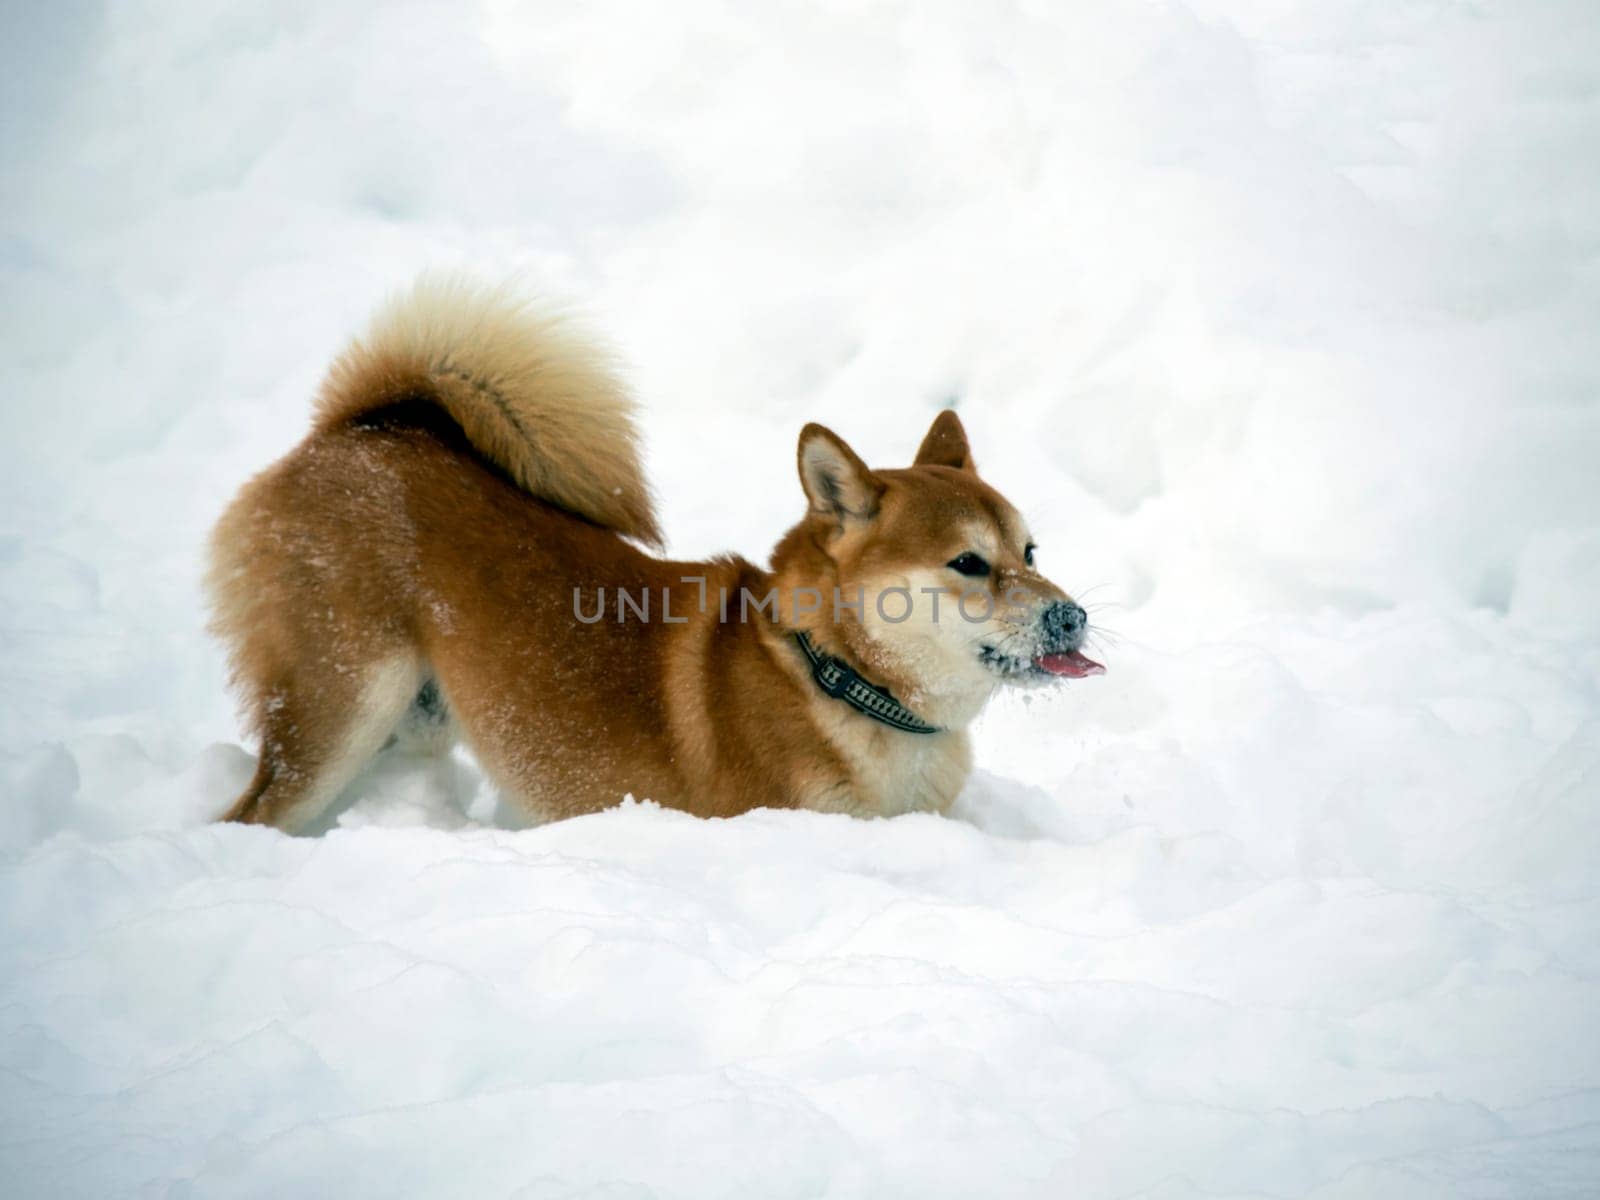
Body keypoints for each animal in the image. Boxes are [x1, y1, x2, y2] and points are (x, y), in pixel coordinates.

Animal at [209, 276, 1100, 832]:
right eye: (969, 564)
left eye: (1029, 549)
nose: (1073, 617)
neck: (835, 679)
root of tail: (359, 432)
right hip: (340, 709)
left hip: (410, 719)